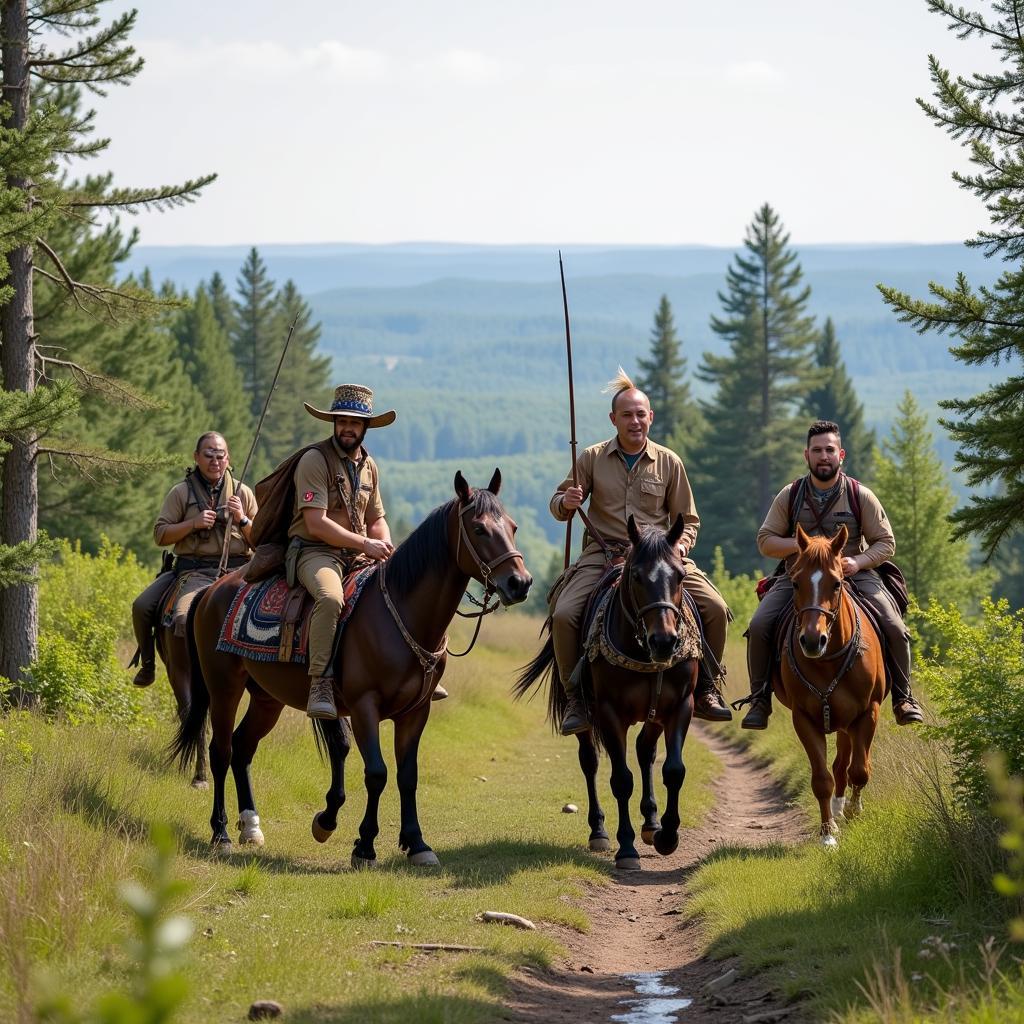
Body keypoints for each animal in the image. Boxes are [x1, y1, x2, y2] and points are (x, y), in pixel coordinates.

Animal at [171, 471, 532, 864]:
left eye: (513, 526)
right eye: (480, 529)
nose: (520, 583)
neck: (401, 613)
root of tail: (212, 590)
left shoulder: (416, 712)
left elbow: (408, 775)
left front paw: (416, 843)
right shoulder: (363, 707)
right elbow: (376, 773)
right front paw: (364, 844)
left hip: (267, 698)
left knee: (242, 747)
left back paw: (250, 826)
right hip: (224, 687)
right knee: (220, 751)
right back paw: (220, 832)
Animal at [516, 516, 700, 868]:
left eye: (680, 576)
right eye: (637, 576)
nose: (664, 642)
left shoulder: (680, 706)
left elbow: (674, 770)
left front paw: (667, 836)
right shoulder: (609, 712)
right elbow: (621, 779)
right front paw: (626, 848)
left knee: (645, 751)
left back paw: (651, 823)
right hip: (586, 714)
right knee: (590, 761)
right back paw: (599, 830)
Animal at [774, 524, 888, 843]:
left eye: (837, 583)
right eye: (795, 583)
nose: (813, 641)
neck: (828, 661)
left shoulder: (868, 713)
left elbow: (860, 770)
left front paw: (853, 810)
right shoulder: (804, 719)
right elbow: (821, 778)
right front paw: (828, 833)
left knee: (847, 764)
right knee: (837, 766)